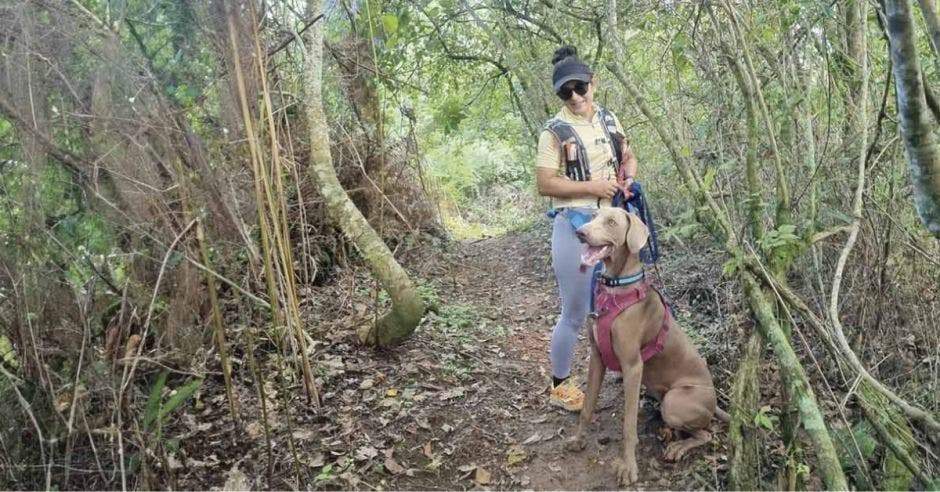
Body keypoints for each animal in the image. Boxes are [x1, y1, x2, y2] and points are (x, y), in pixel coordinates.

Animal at [564, 207, 728, 484]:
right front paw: (578, 439)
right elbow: (588, 406)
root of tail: (714, 402)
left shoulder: (633, 367)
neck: (616, 291)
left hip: (674, 401)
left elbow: (628, 425)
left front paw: (628, 467)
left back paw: (678, 447)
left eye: (611, 222)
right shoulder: (597, 357)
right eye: (594, 216)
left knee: (706, 434)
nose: (580, 233)